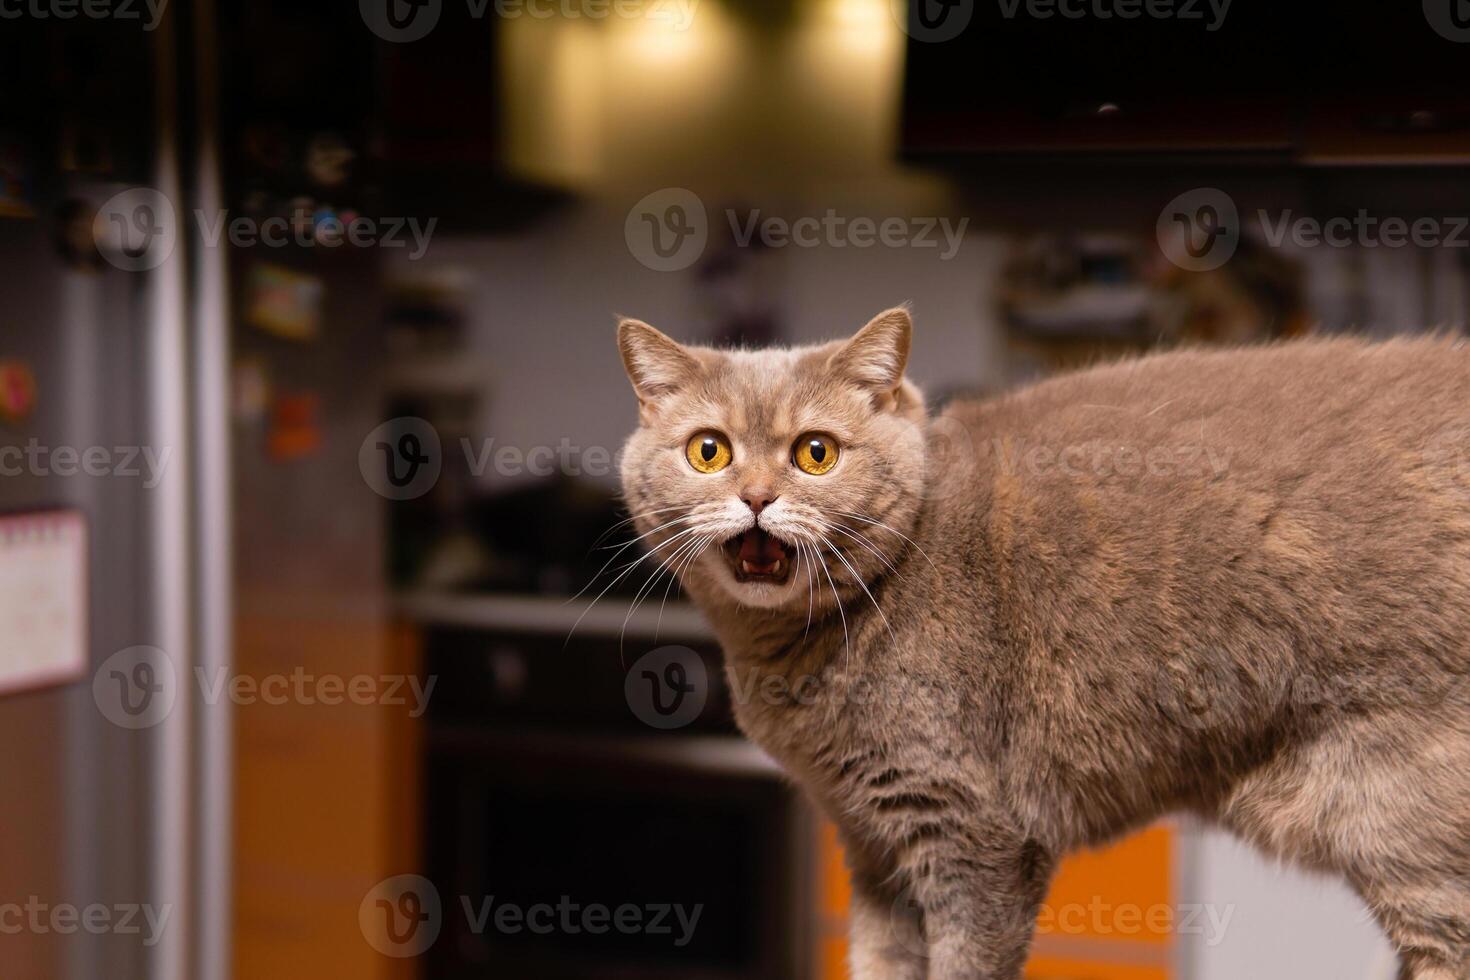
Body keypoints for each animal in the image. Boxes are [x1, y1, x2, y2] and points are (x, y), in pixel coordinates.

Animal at [611, 308, 1470, 980]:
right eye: (709, 450)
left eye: (815, 452)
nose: (757, 497)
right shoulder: (870, 845)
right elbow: (880, 962)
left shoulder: (974, 832)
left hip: (1411, 819)